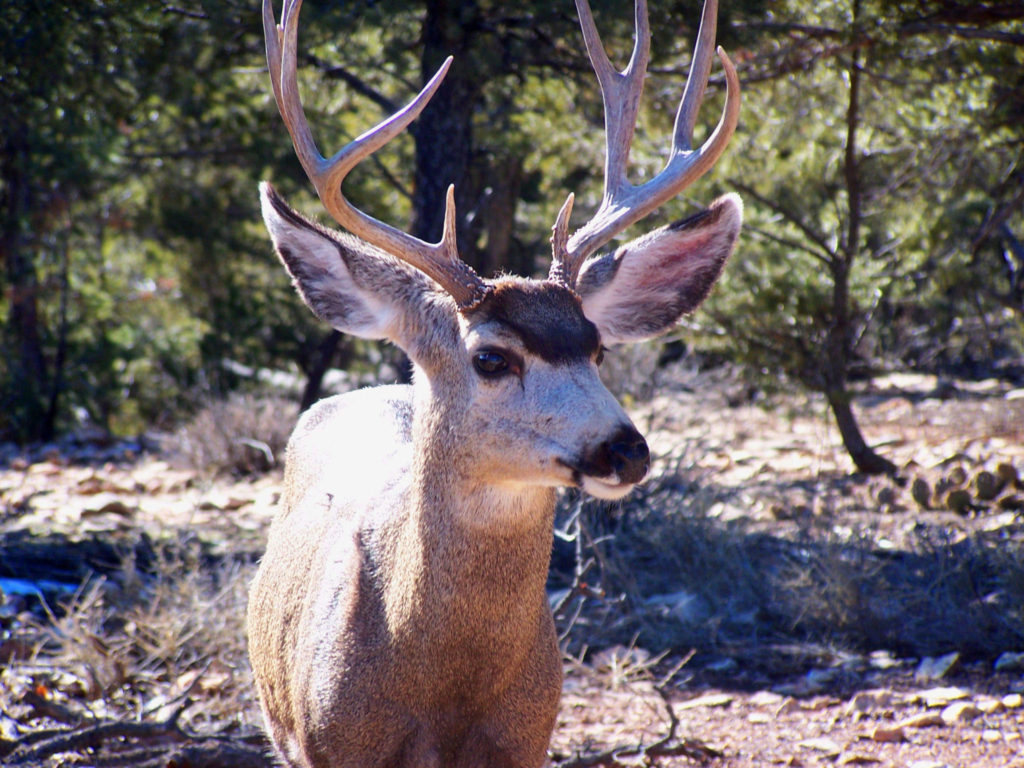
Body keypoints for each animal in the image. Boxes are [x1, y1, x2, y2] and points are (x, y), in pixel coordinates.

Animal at [249, 0, 745, 765]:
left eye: (598, 348)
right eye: (490, 358)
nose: (625, 449)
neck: (444, 690)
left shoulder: (526, 740)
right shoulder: (330, 742)